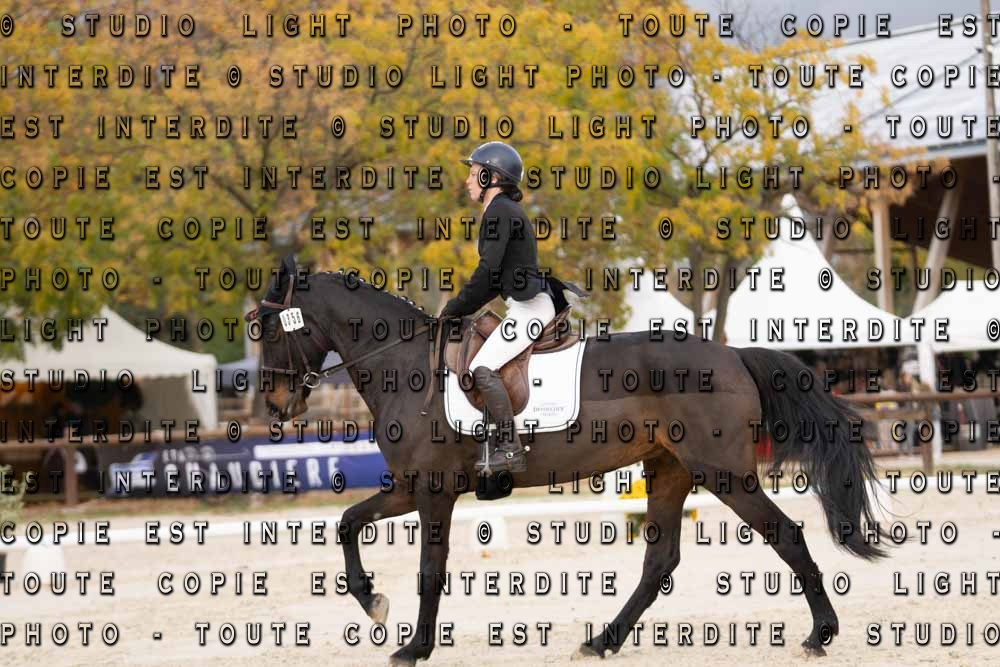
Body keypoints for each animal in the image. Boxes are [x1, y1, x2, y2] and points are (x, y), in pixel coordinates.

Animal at [249, 254, 890, 666]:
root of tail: (732, 354)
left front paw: (413, 647)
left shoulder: (432, 492)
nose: (278, 405)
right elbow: (347, 521)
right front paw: (373, 602)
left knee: (786, 535)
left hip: (725, 474)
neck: (404, 367)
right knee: (660, 561)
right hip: (670, 470)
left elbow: (431, 570)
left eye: (269, 329)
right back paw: (602, 640)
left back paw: (820, 634)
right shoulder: (409, 487)